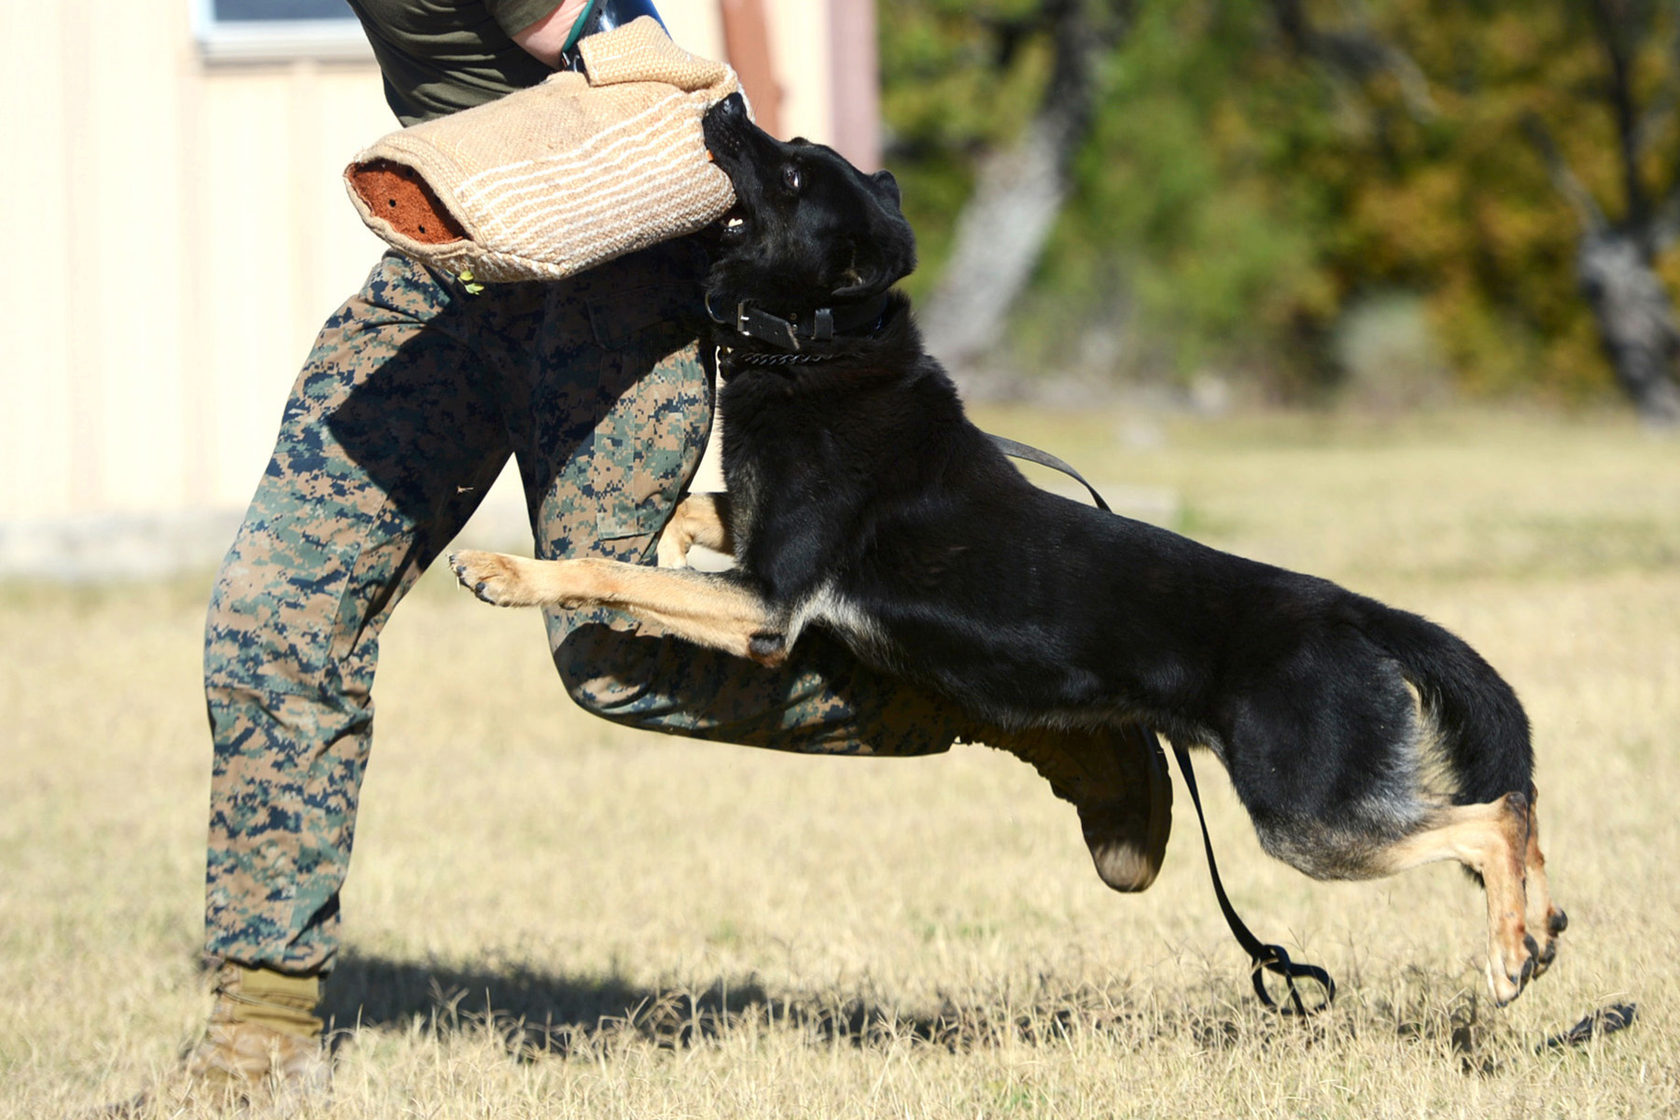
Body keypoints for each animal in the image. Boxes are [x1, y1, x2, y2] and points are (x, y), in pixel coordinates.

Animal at [453, 96, 1565, 1007]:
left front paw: (509, 572)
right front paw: (664, 539)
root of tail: (1352, 609)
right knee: (1508, 816)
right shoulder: (762, 556)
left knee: (1492, 813)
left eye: (795, 175)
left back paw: (1508, 950)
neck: (820, 343)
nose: (724, 105)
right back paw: (1537, 924)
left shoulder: (768, 606)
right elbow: (697, 512)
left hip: (1307, 816)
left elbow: (612, 569)